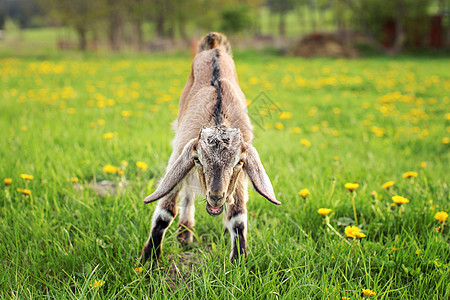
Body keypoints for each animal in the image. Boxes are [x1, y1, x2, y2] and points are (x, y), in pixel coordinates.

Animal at [139, 31, 280, 266]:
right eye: (198, 159)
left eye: (239, 162)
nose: (215, 196)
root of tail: (214, 48)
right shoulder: (180, 154)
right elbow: (165, 213)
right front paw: (148, 260)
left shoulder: (240, 178)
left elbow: (238, 218)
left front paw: (238, 261)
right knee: (187, 191)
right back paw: (185, 233)